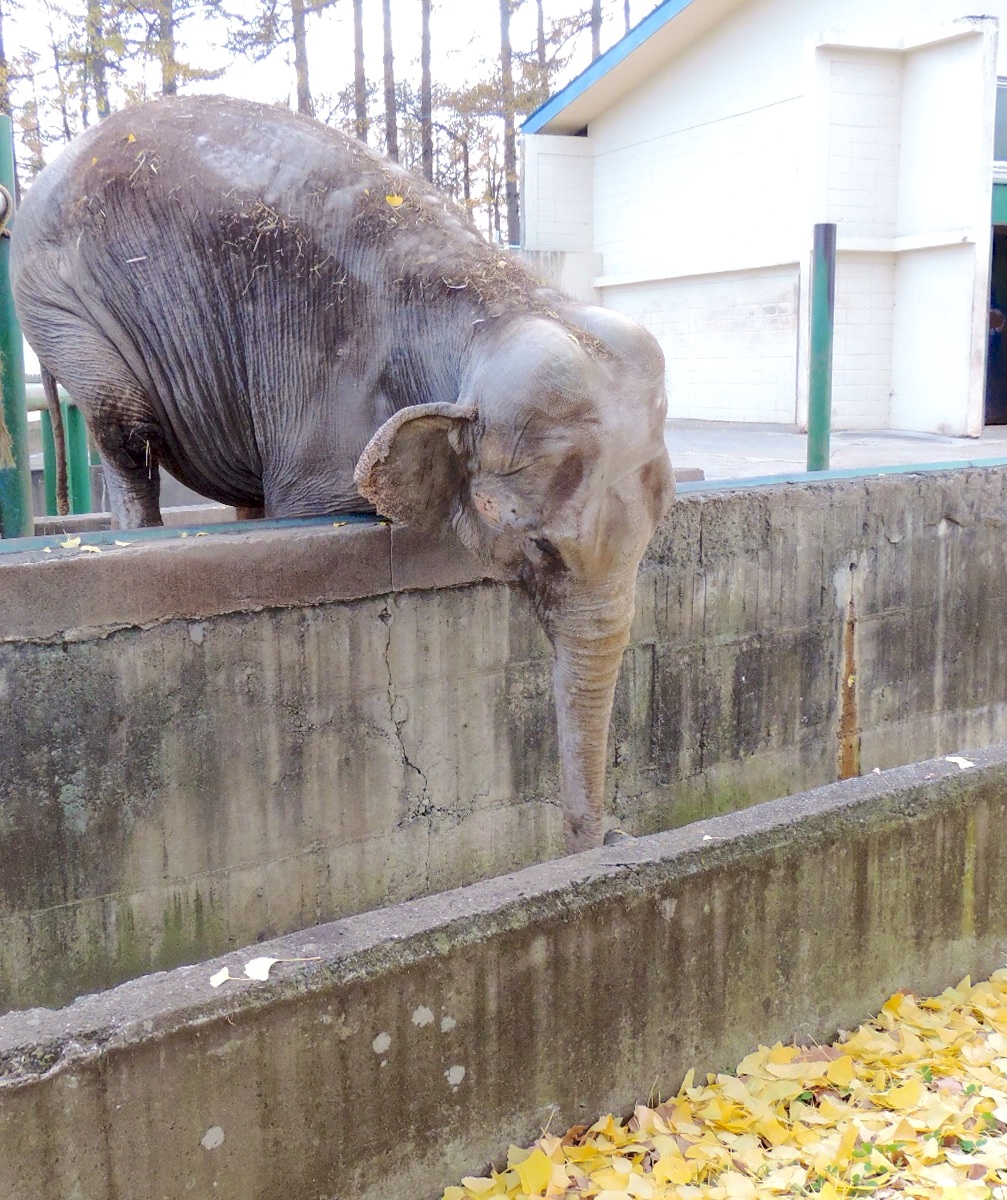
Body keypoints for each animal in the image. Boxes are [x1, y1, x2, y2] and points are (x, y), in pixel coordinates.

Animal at [9, 98, 676, 859]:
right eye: (529, 541)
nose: (614, 835)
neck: (495, 297)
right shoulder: (330, 386)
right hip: (57, 301)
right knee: (123, 429)